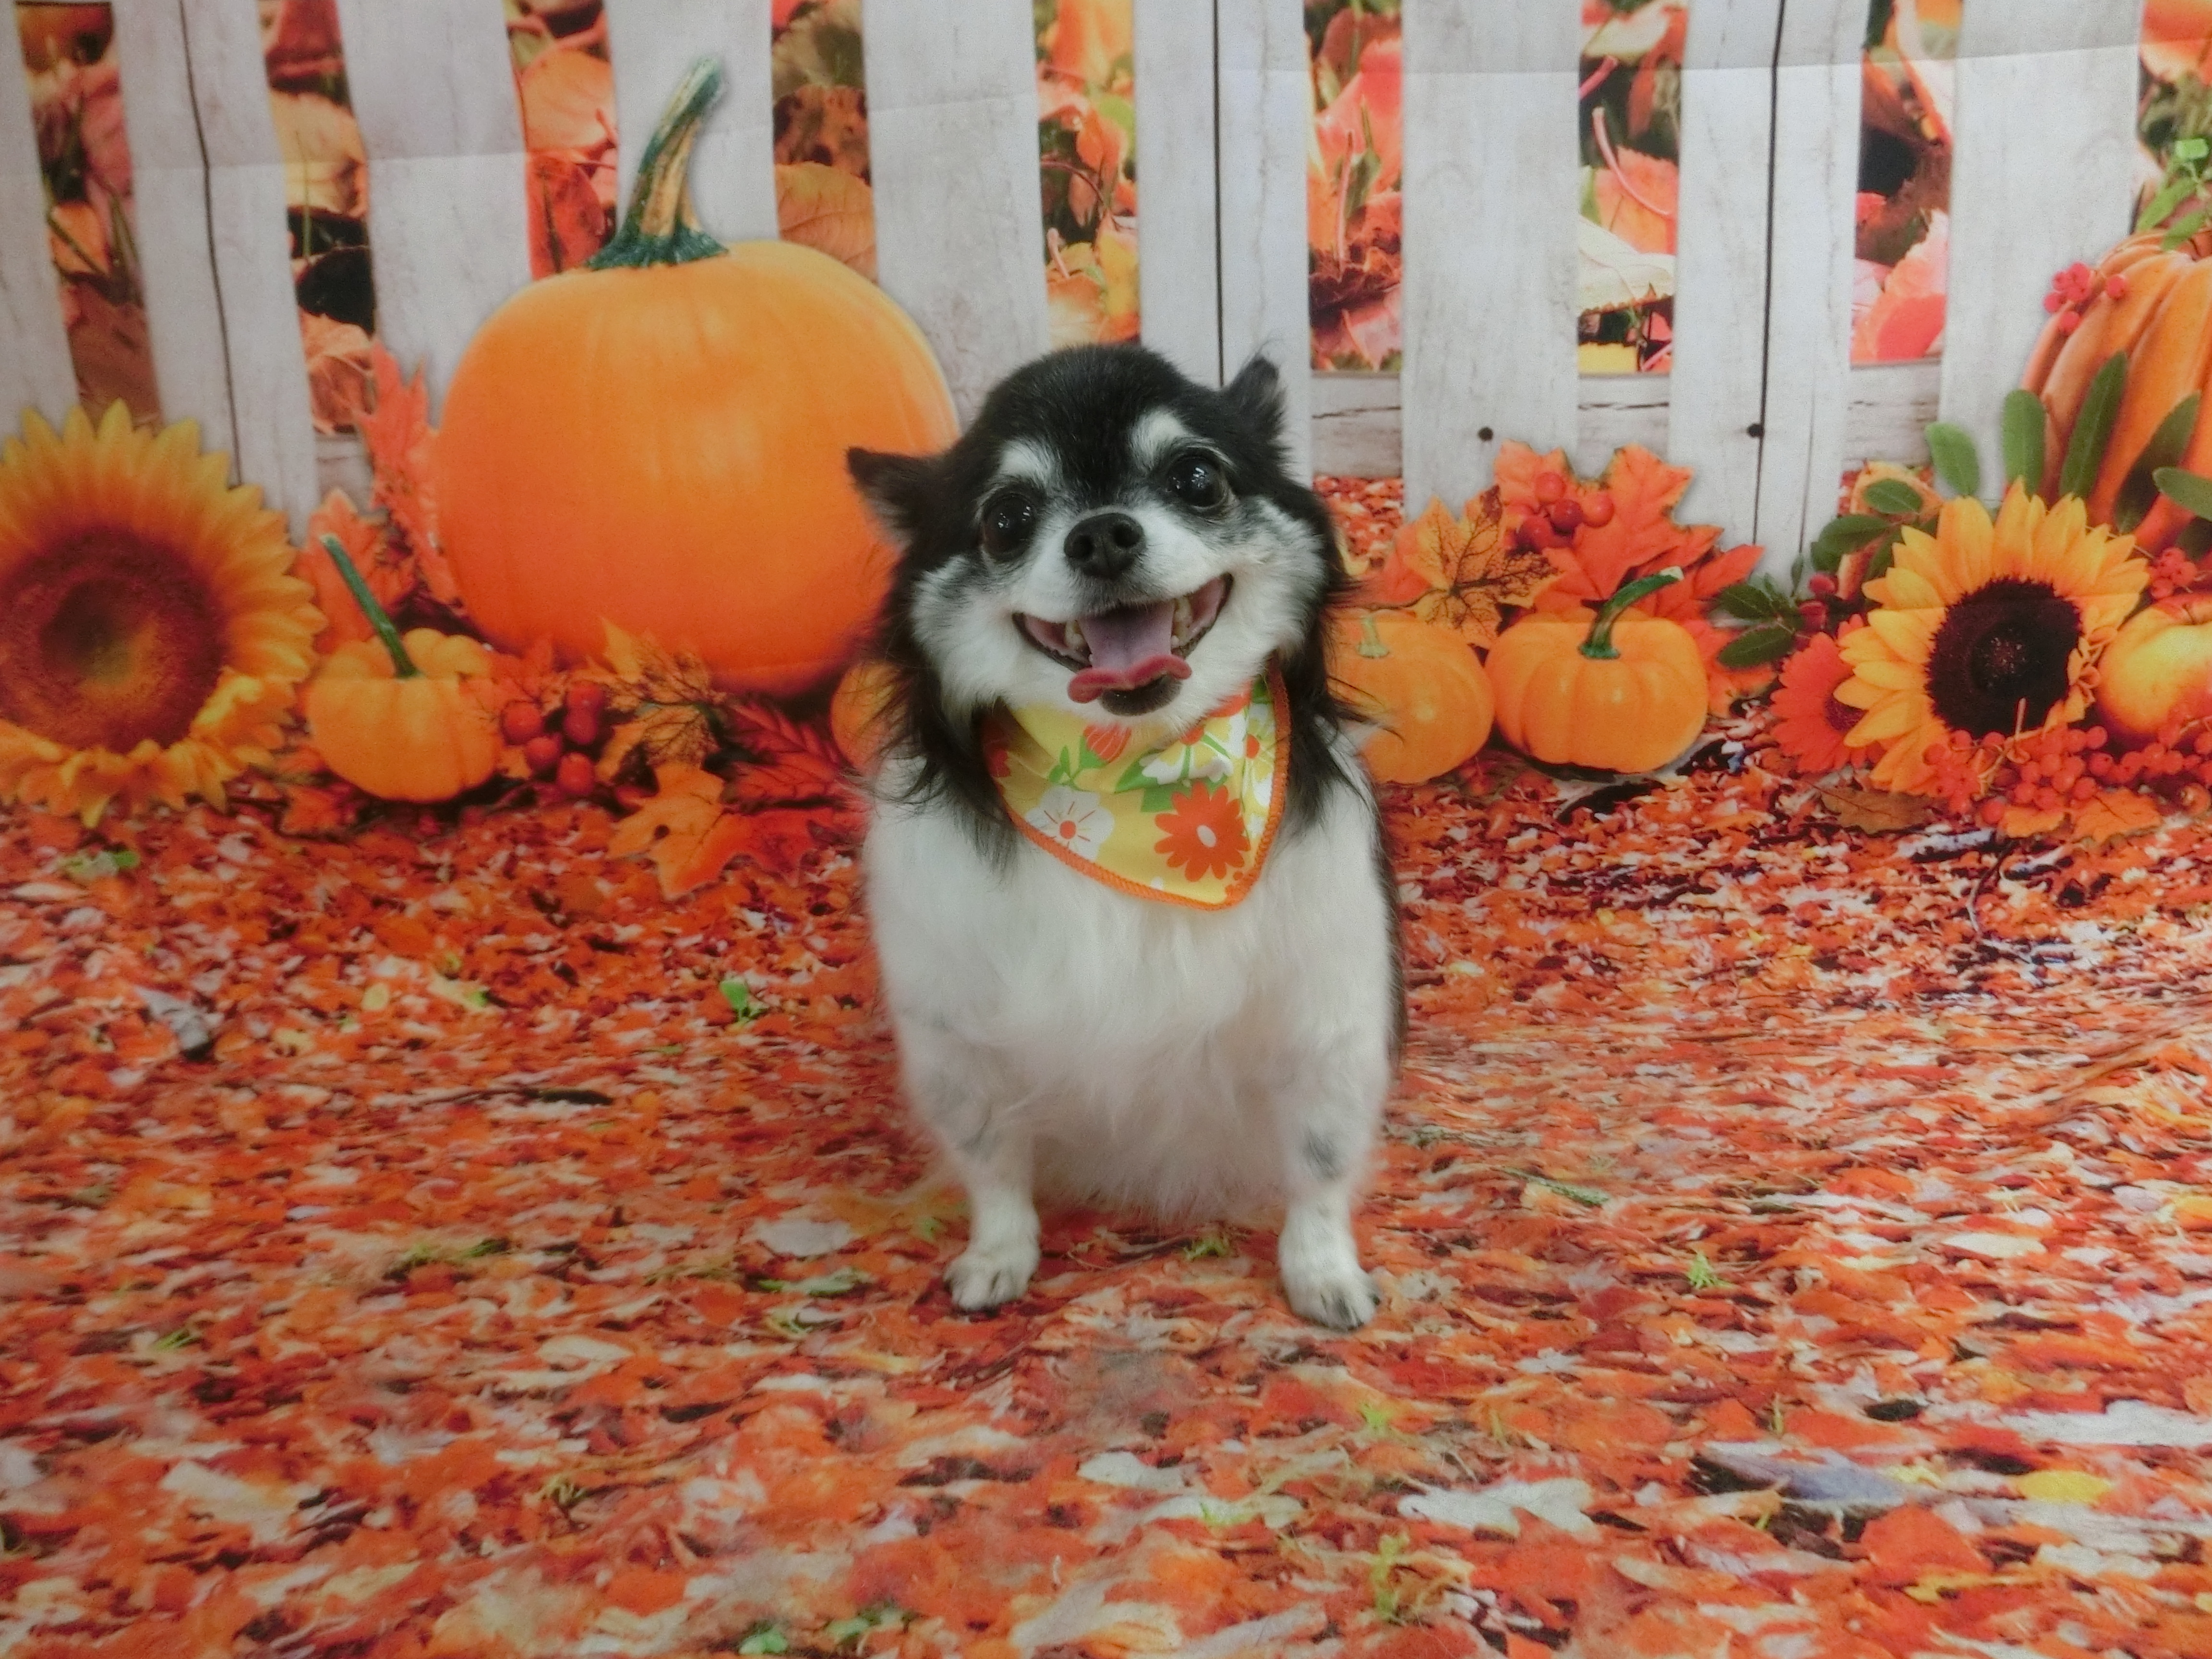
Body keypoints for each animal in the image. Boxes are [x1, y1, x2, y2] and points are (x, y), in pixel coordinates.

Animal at [847, 344, 1402, 1329]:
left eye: (1197, 478)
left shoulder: (1326, 1024)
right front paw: (1000, 1254)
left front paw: (1322, 1268)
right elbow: (992, 1163)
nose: (1102, 536)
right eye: (1005, 519)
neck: (1134, 781)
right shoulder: (958, 1045)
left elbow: (1319, 1163)